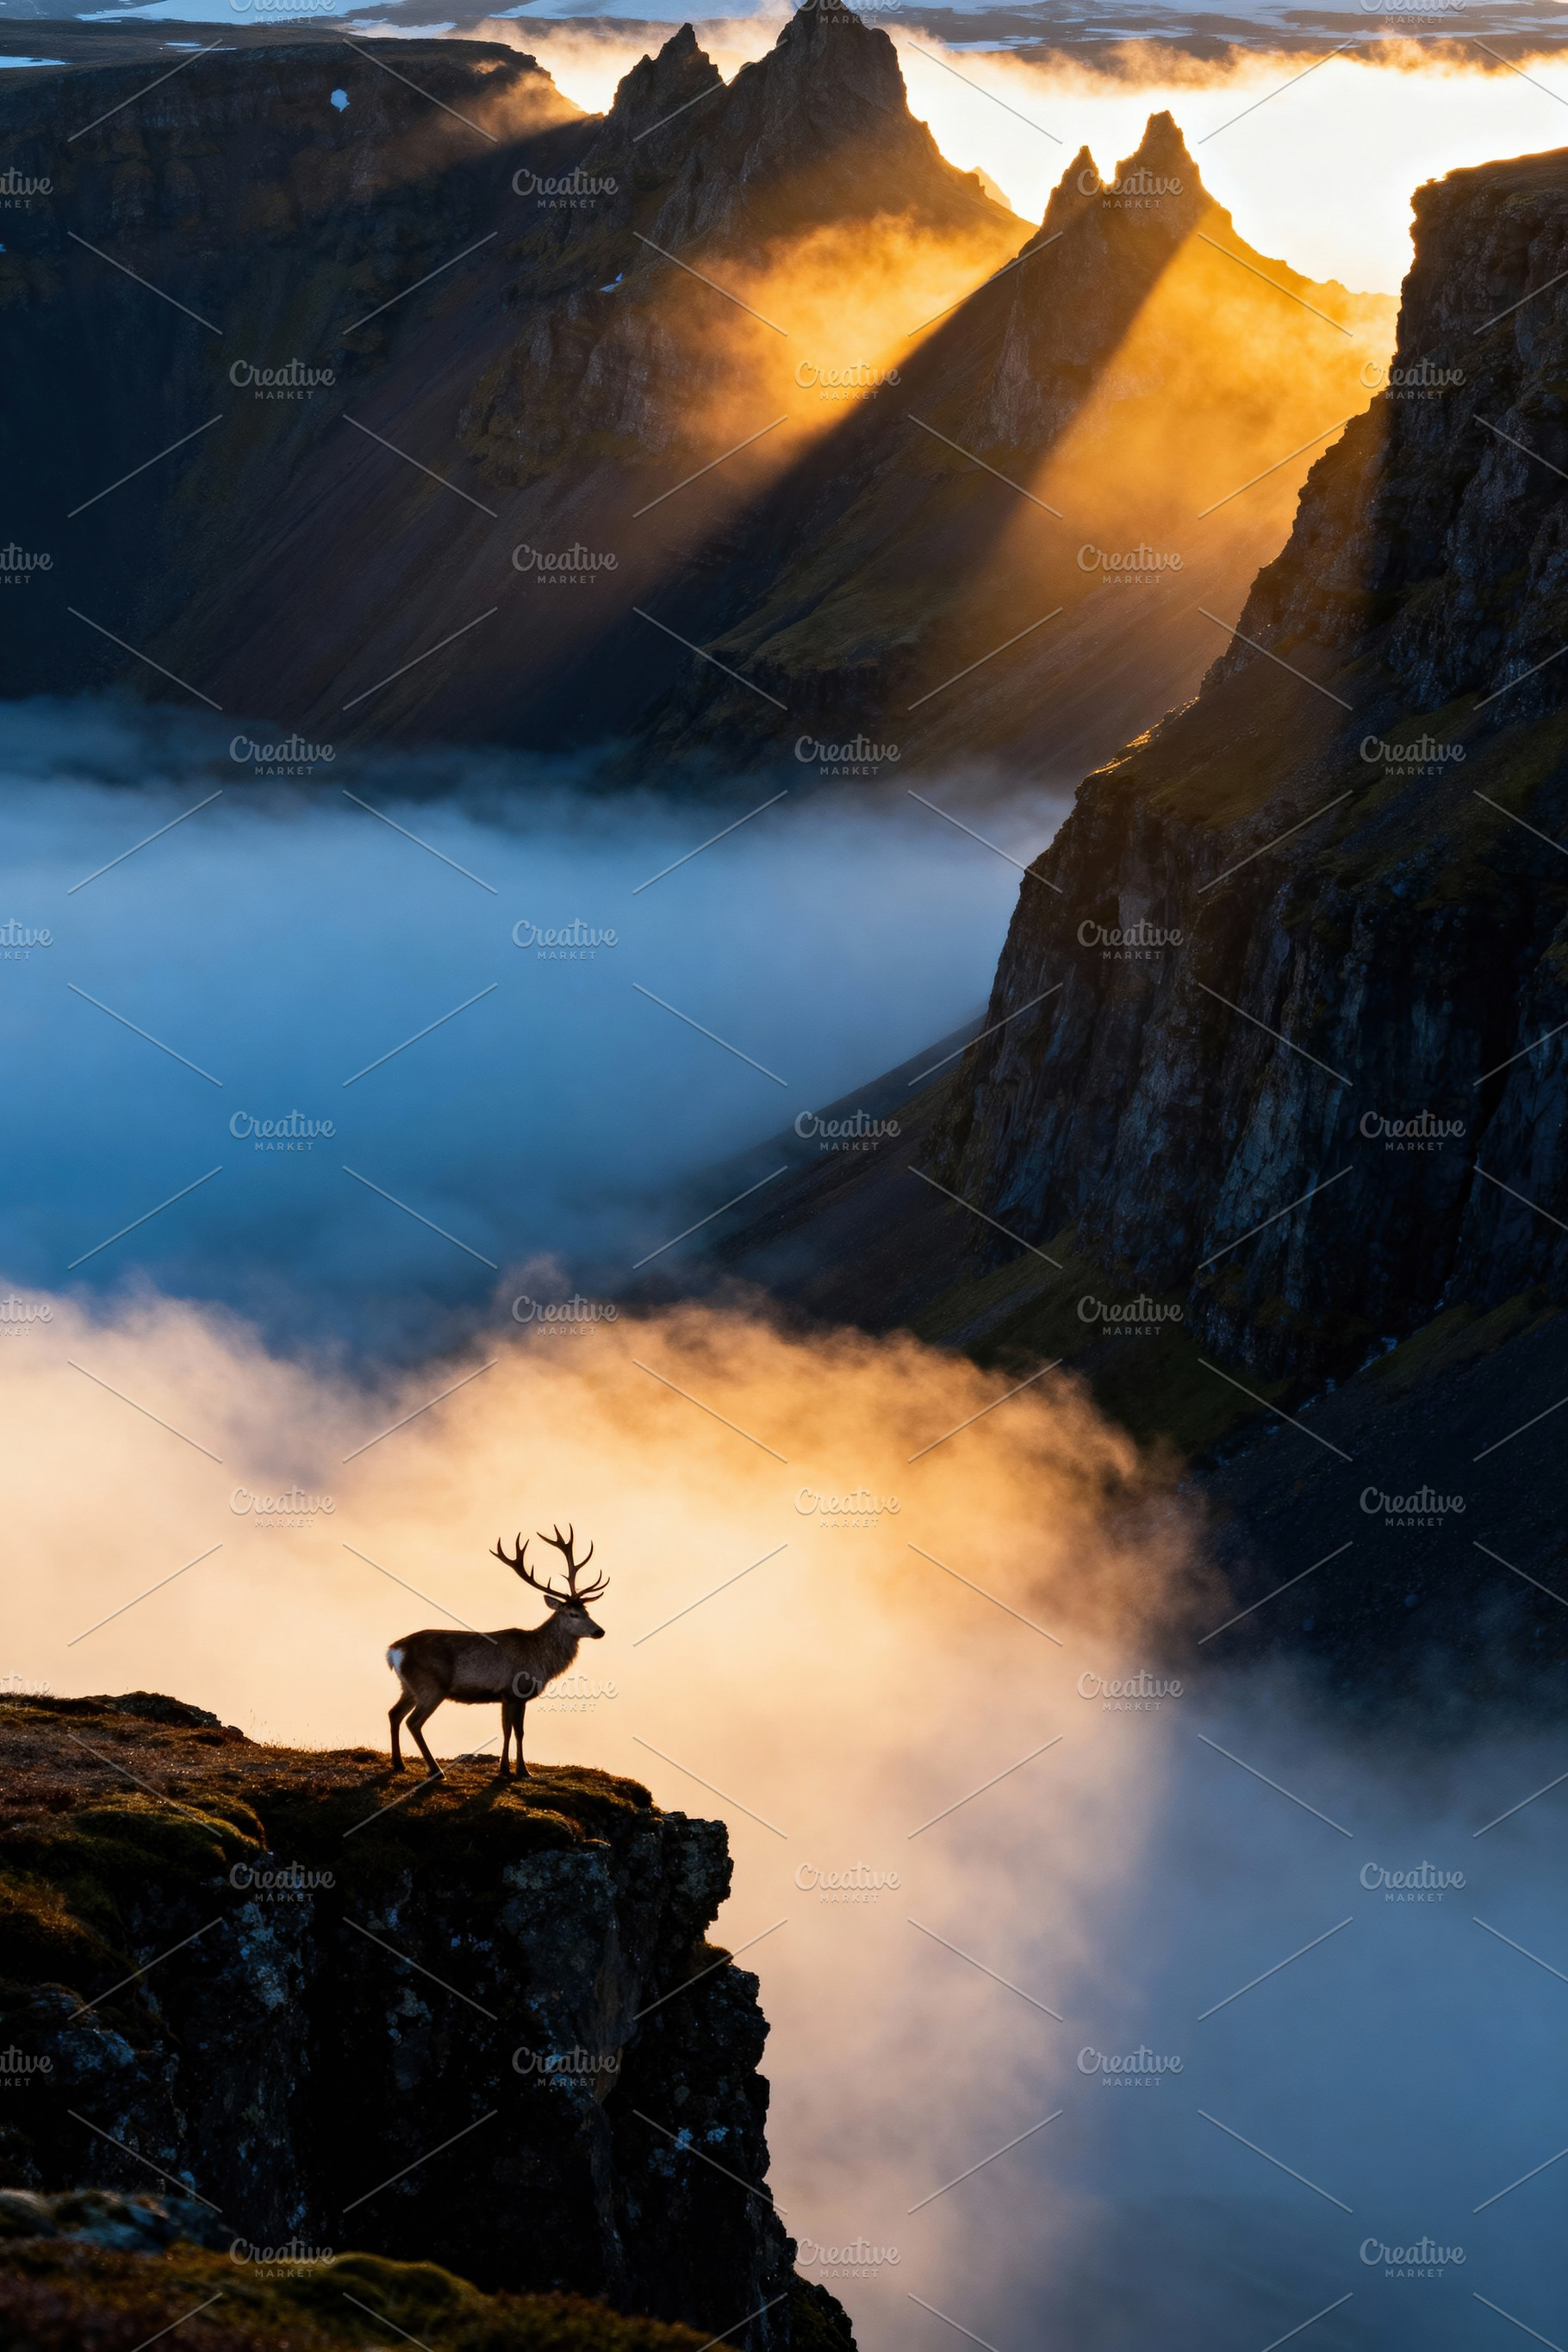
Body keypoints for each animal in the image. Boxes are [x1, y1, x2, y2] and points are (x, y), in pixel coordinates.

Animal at [386, 1525, 607, 1780]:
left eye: (587, 1611)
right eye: (573, 1614)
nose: (599, 1631)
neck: (540, 1659)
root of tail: (394, 1651)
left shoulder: (504, 1695)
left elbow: (507, 1729)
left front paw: (506, 1768)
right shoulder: (515, 1690)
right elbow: (517, 1731)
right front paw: (520, 1770)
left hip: (408, 1686)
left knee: (394, 1714)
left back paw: (399, 1764)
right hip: (431, 1686)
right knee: (413, 1722)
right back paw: (435, 1770)